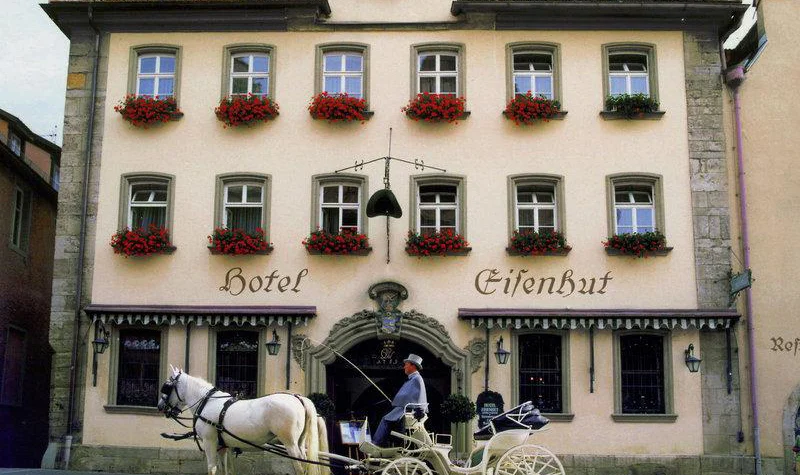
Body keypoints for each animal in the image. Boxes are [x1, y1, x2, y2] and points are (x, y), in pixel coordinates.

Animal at [157, 366, 329, 475]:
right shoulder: (222, 446)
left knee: (300, 468)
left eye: (166, 387)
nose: (160, 406)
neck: (207, 402)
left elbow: (212, 468)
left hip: (290, 444)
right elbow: (225, 470)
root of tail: (299, 398)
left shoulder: (209, 442)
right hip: (299, 443)